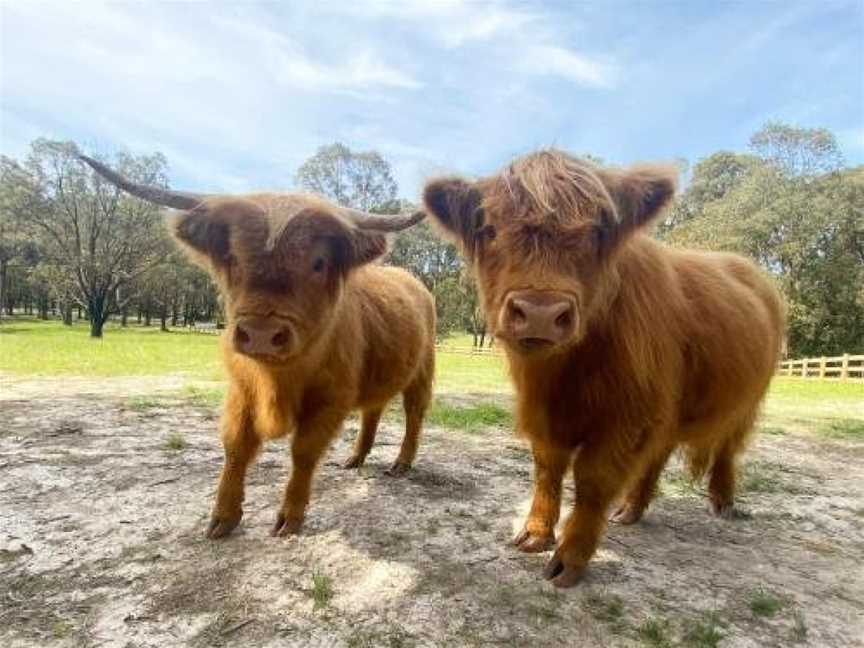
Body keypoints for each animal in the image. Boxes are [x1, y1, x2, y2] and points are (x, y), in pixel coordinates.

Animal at [79, 158, 432, 540]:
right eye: (232, 257)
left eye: (319, 262)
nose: (261, 333)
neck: (276, 380)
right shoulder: (241, 389)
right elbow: (235, 447)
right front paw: (222, 517)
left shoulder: (330, 398)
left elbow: (303, 452)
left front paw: (290, 518)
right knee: (373, 409)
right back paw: (356, 458)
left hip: (423, 371)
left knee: (414, 414)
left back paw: (401, 463)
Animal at [422, 151, 788, 588]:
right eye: (490, 229)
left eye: (596, 232)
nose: (540, 313)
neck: (563, 376)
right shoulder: (549, 417)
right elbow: (547, 470)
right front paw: (535, 534)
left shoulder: (626, 419)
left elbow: (593, 482)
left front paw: (569, 560)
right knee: (660, 454)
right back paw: (631, 510)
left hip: (747, 401)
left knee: (728, 448)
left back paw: (723, 501)